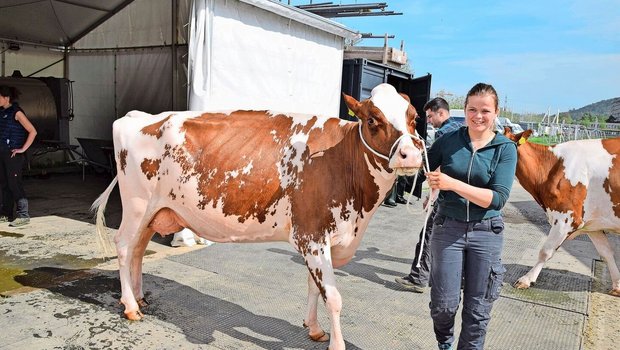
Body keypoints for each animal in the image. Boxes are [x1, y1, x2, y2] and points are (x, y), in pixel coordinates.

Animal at [93, 83, 426, 348]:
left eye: (413, 118)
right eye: (372, 120)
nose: (411, 154)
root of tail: (140, 116)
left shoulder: (318, 239)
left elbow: (313, 287)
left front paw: (314, 329)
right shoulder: (313, 235)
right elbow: (333, 297)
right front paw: (336, 344)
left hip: (154, 212)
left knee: (138, 250)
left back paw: (140, 298)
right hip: (137, 205)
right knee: (124, 246)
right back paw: (130, 306)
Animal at [504, 129, 620, 296]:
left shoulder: (566, 218)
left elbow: (545, 251)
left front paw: (526, 279)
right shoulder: (593, 225)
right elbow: (606, 253)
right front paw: (617, 286)